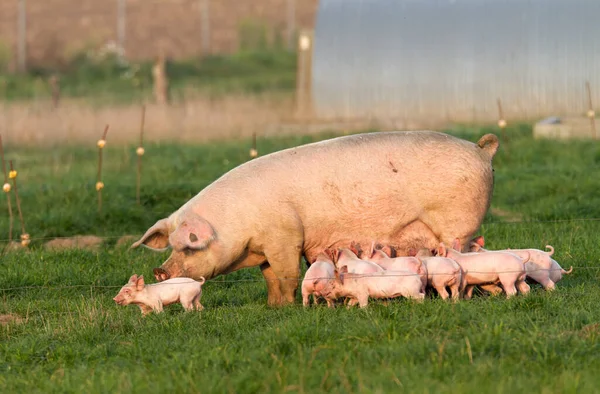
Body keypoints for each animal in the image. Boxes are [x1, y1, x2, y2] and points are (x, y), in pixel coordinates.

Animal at [134, 131, 500, 306]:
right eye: (171, 246)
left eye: (188, 247)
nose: (160, 271)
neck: (238, 223)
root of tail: (480, 149)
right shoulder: (266, 247)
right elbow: (269, 277)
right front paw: (273, 307)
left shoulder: (284, 236)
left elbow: (285, 275)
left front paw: (285, 306)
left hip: (457, 222)